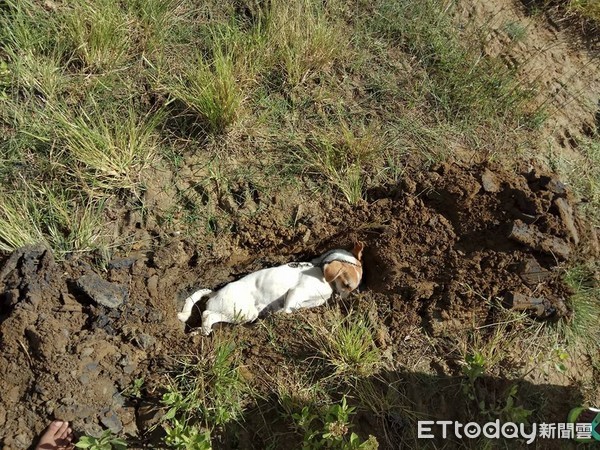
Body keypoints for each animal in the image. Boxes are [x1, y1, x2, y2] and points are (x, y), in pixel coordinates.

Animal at [177, 243, 366, 334]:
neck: (320, 269)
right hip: (245, 312)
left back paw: (198, 331)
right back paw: (204, 331)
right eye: (347, 285)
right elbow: (287, 309)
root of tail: (215, 293)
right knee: (207, 314)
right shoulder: (296, 292)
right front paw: (278, 316)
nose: (345, 301)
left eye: (353, 288)